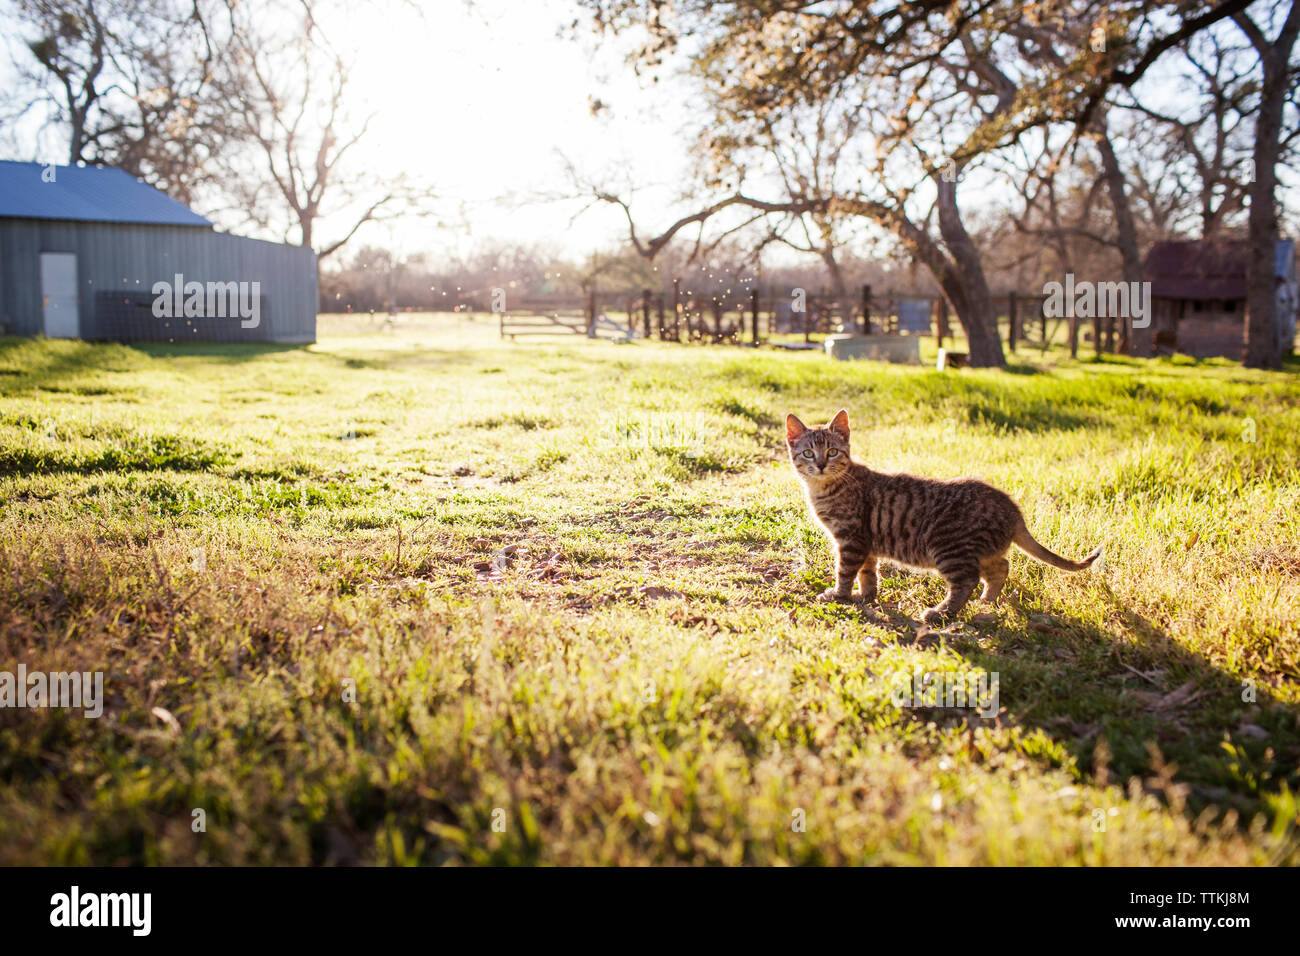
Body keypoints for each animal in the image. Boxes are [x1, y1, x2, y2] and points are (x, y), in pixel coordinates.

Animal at [785, 411, 1102, 629]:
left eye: (833, 451)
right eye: (808, 453)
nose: (820, 464)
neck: (825, 488)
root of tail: (1011, 508)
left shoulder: (851, 539)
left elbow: (845, 571)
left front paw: (838, 595)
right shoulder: (866, 542)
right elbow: (868, 573)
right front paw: (866, 597)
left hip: (948, 547)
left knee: (967, 580)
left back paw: (941, 613)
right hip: (981, 550)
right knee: (1001, 567)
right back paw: (987, 601)